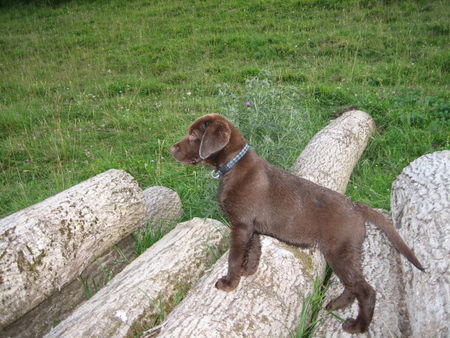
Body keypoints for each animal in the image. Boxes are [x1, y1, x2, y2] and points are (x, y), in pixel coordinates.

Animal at [171, 113, 424, 332]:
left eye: (194, 136)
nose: (171, 148)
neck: (232, 166)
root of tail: (356, 206)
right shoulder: (250, 227)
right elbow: (254, 249)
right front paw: (249, 271)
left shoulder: (240, 224)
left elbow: (234, 256)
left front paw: (229, 282)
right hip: (348, 252)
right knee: (353, 285)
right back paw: (337, 305)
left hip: (339, 251)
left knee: (366, 290)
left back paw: (358, 326)